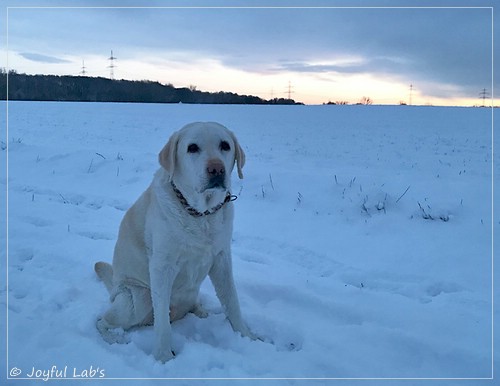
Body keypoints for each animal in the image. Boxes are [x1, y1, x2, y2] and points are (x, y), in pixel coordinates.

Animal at [94, 123, 254, 362]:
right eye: (192, 148)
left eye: (225, 146)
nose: (216, 169)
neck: (201, 214)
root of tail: (113, 286)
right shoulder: (162, 266)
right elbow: (162, 322)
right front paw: (163, 357)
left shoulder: (221, 259)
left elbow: (232, 301)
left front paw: (247, 337)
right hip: (139, 297)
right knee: (102, 322)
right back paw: (117, 339)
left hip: (188, 293)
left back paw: (201, 311)